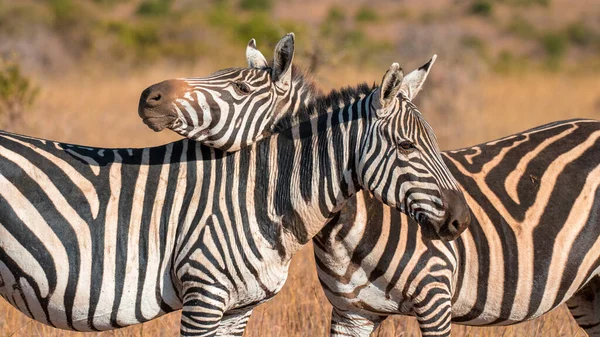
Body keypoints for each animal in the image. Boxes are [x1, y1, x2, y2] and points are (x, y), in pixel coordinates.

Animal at [0, 36, 468, 336]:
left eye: (241, 86)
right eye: (407, 146)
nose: (461, 219)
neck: (261, 195)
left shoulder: (237, 307)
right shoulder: (203, 295)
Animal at [150, 44, 600, 334]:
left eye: (239, 90)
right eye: (407, 145)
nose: (149, 97)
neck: (346, 230)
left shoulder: (437, 301)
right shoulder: (351, 313)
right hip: (589, 291)